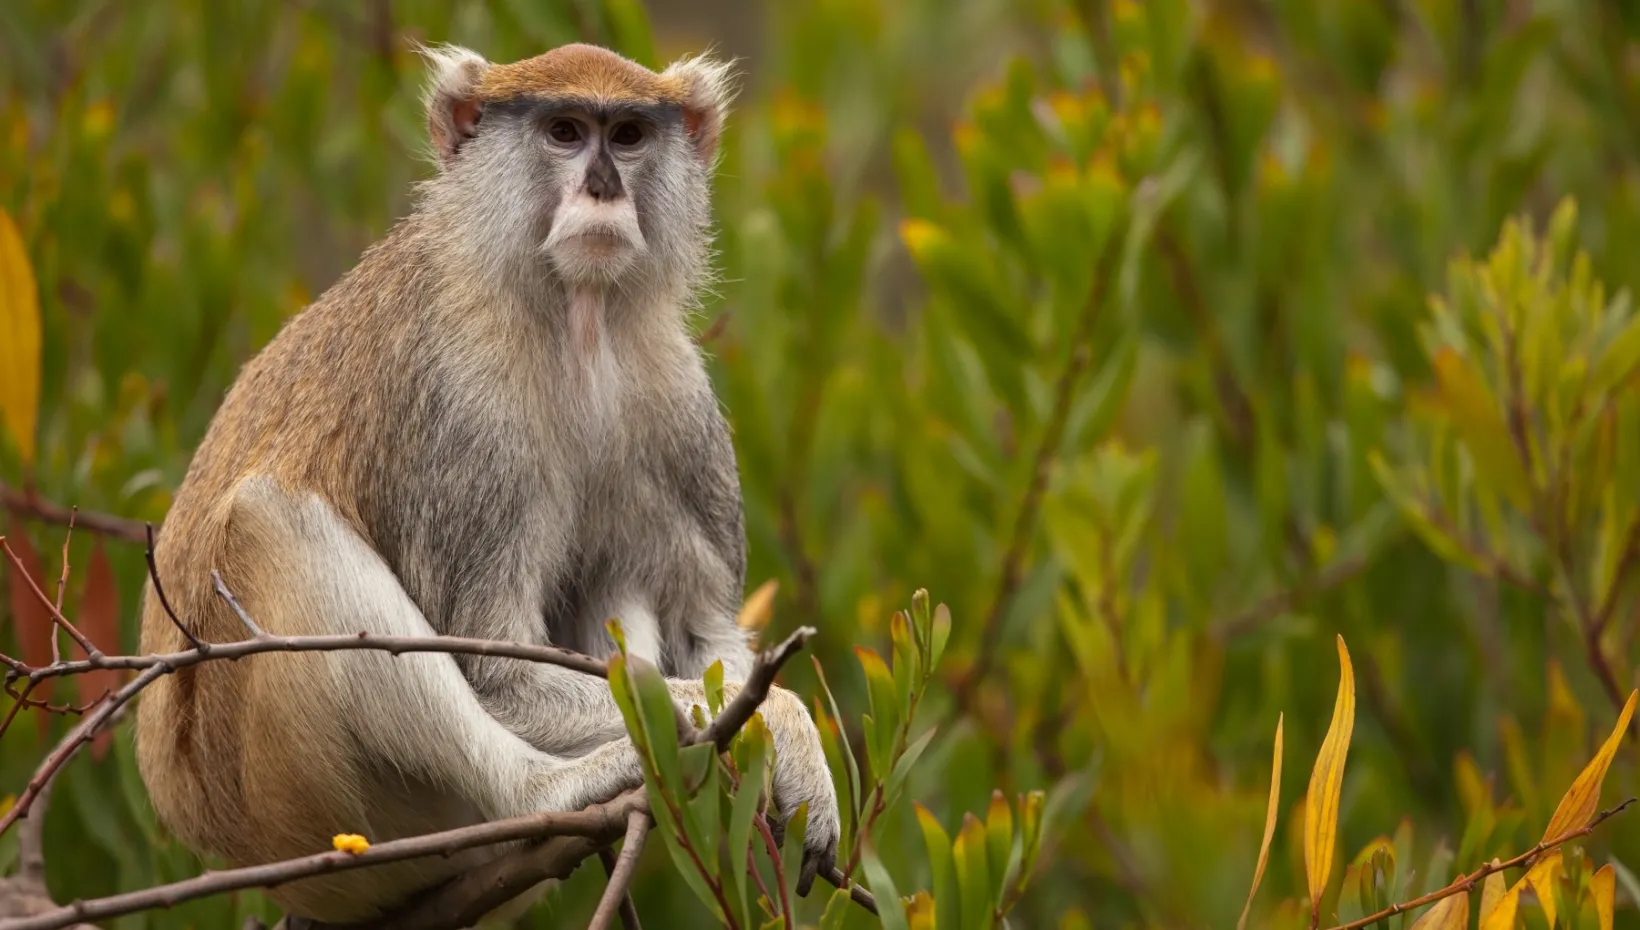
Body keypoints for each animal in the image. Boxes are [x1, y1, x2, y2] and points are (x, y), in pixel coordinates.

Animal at [132, 43, 839, 925]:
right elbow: (497, 674)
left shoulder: (680, 411)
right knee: (268, 521)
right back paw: (554, 790)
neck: (574, 320)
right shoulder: (465, 417)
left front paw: (786, 742)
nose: (602, 187)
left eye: (629, 135)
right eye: (565, 132)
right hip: (294, 805)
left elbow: (704, 636)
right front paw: (775, 719)